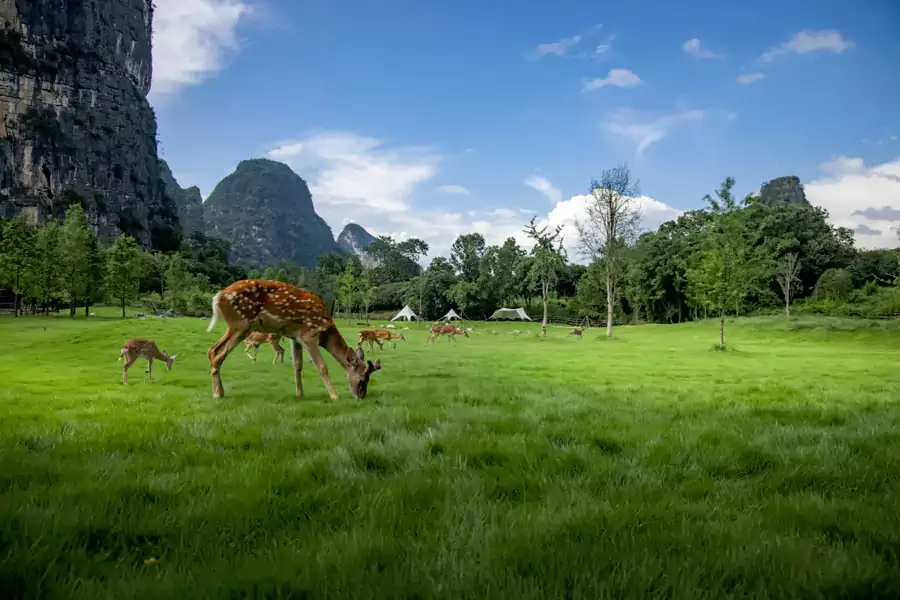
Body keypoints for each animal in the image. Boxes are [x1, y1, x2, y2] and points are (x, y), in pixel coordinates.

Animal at [206, 279, 382, 400]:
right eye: (363, 379)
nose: (361, 396)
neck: (325, 331)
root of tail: (218, 296)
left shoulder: (294, 336)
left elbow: (297, 365)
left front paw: (300, 393)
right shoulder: (309, 334)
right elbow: (322, 366)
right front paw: (334, 396)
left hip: (236, 326)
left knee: (212, 350)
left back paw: (220, 391)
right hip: (240, 324)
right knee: (217, 353)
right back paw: (217, 393)